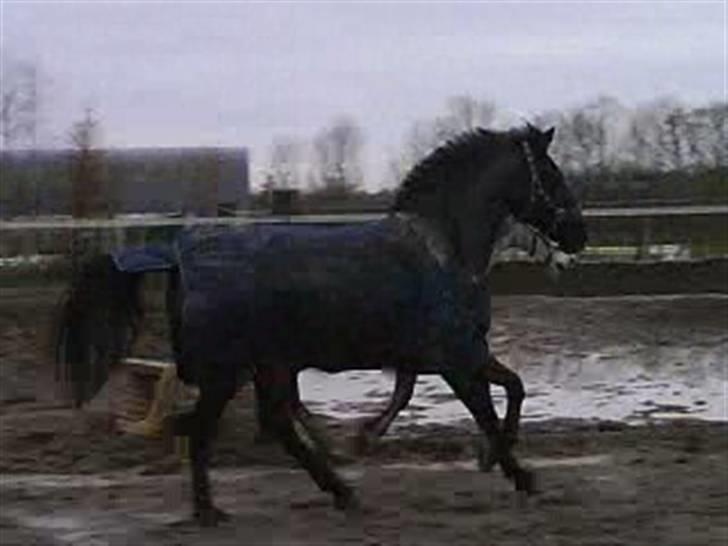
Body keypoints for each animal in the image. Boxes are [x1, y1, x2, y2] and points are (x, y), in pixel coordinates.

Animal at [55, 125, 587, 526]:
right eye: (552, 175)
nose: (579, 237)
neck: (443, 248)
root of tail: (180, 253)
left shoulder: (455, 355)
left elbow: (508, 390)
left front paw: (492, 459)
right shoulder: (455, 357)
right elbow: (490, 407)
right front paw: (517, 472)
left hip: (264, 366)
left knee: (275, 424)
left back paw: (340, 491)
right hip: (230, 371)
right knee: (204, 429)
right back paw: (210, 512)